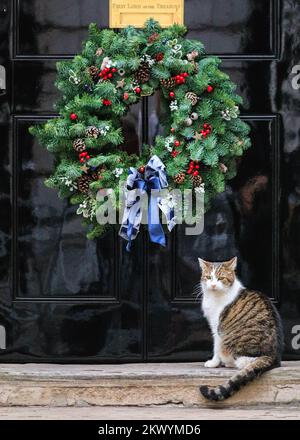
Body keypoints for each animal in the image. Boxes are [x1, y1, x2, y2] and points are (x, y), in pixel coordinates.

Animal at [198, 256, 282, 400]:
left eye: (221, 278)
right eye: (208, 277)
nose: (213, 285)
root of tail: (272, 355)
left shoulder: (217, 328)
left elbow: (215, 347)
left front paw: (213, 363)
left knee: (242, 362)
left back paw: (229, 362)